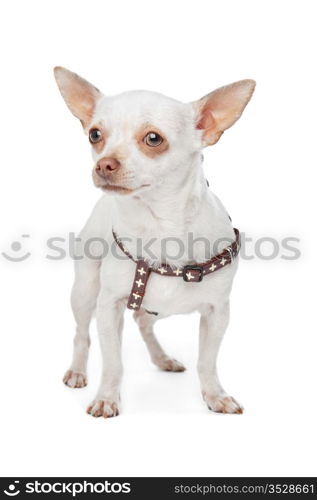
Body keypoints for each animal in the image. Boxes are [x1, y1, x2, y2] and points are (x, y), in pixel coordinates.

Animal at [53, 67, 253, 418]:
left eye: (153, 139)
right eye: (95, 135)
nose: (103, 163)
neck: (161, 226)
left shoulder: (217, 313)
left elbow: (207, 361)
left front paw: (215, 395)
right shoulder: (108, 307)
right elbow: (113, 362)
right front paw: (106, 397)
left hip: (158, 307)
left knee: (143, 321)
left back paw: (162, 359)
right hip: (85, 292)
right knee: (81, 333)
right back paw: (77, 371)